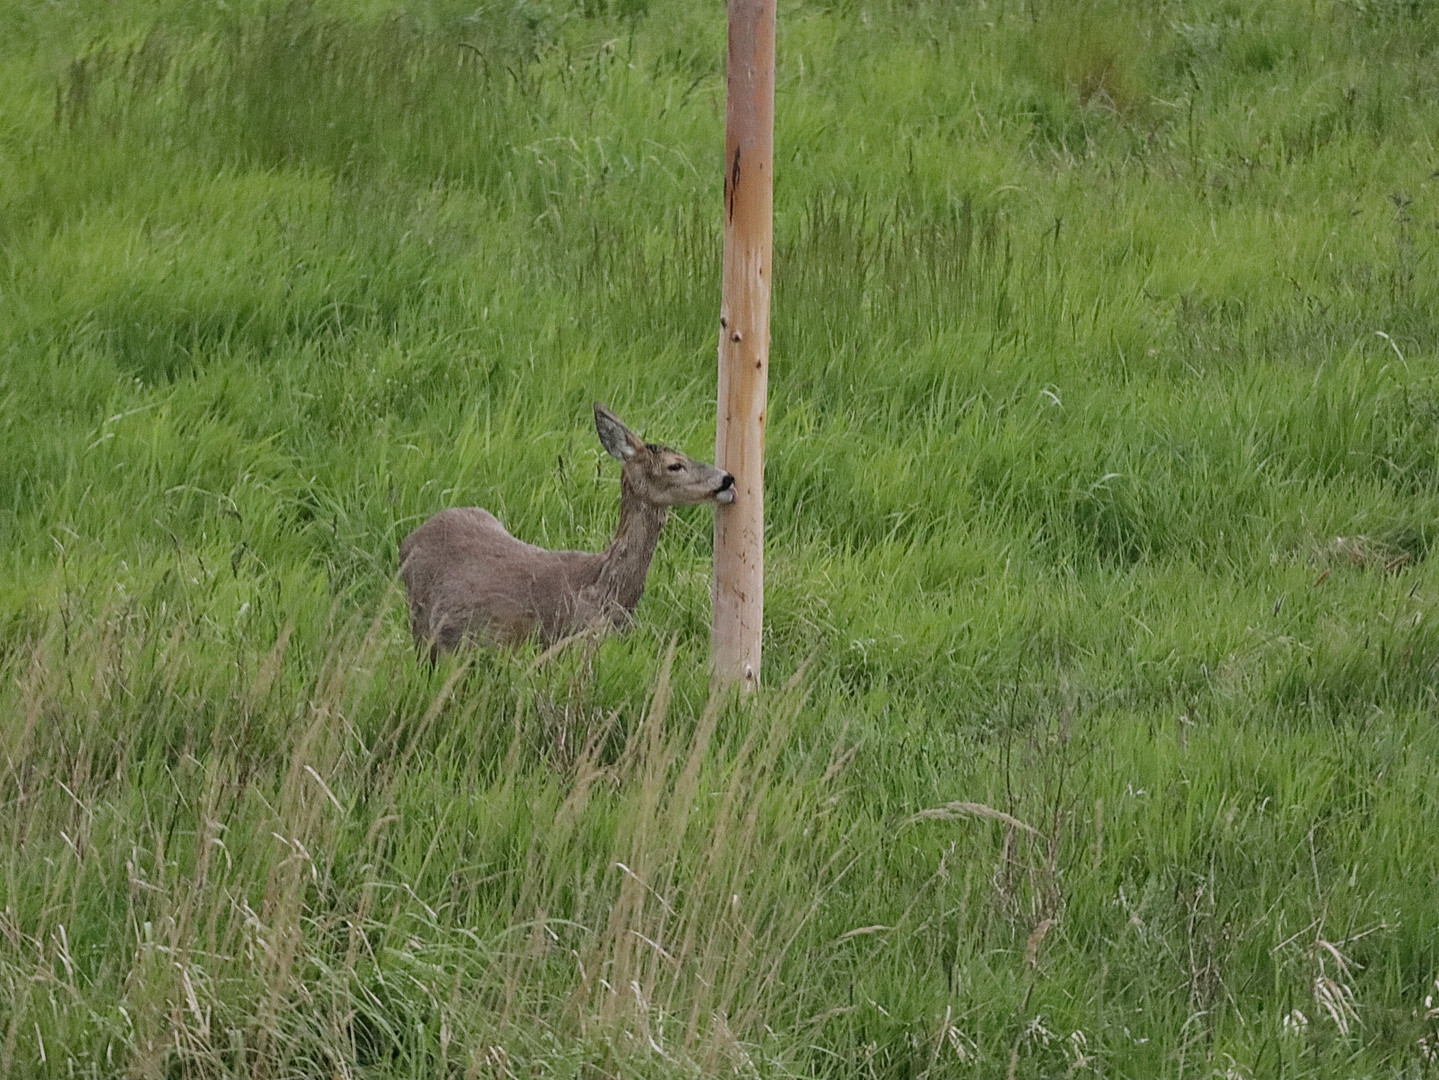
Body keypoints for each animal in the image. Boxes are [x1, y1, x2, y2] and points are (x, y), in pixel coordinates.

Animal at [397, 402, 731, 655]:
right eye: (675, 465)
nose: (727, 479)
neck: (605, 589)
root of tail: (410, 539)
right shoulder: (569, 641)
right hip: (422, 625)